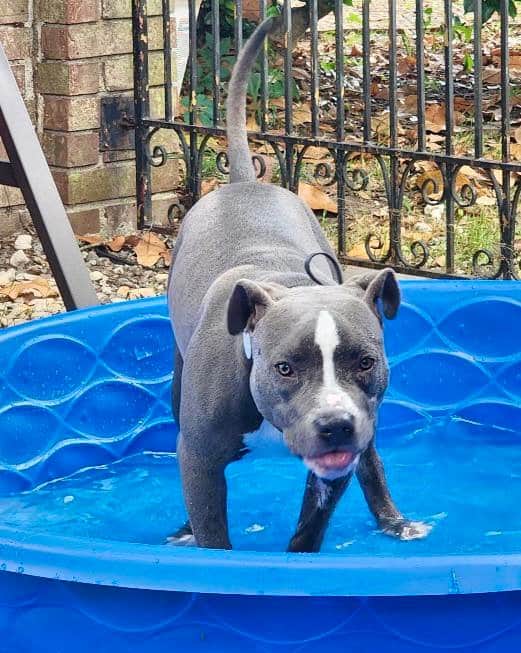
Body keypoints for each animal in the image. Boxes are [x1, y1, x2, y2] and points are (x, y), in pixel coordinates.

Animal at [169, 17, 428, 552]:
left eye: (365, 361)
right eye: (284, 368)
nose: (335, 424)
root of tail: (244, 182)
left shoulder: (338, 462)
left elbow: (311, 526)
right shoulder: (200, 459)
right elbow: (212, 534)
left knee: (372, 462)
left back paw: (395, 520)